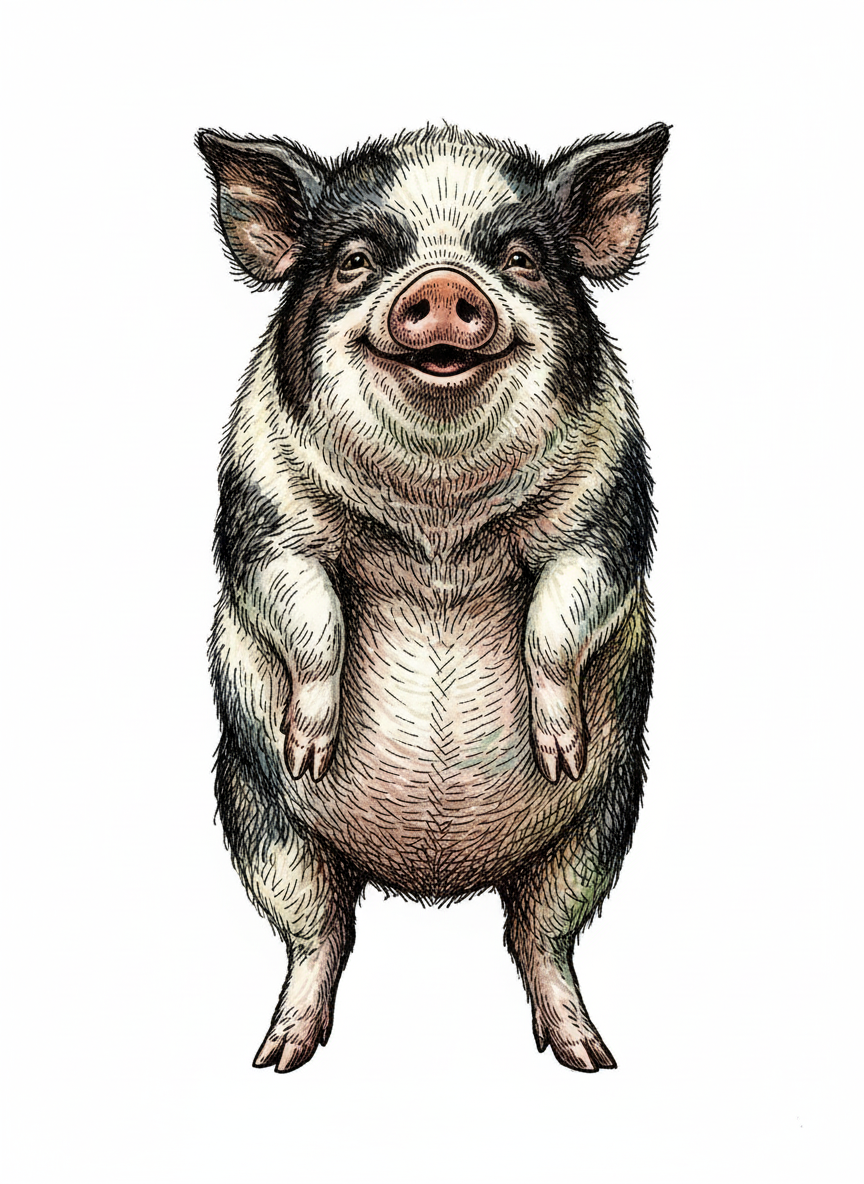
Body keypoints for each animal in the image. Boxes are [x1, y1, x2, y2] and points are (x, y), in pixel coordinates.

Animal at [198, 122, 669, 1073]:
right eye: (355, 261)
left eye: (520, 258)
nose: (446, 286)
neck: (437, 523)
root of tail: (433, 881)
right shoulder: (266, 513)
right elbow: (304, 611)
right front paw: (310, 746)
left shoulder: (605, 511)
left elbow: (563, 615)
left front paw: (558, 748)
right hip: (260, 822)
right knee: (320, 936)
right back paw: (278, 1055)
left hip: (600, 826)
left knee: (540, 937)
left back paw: (589, 1055)